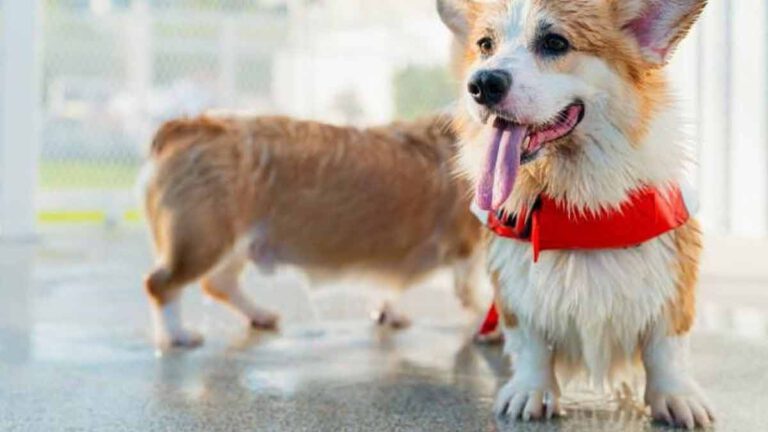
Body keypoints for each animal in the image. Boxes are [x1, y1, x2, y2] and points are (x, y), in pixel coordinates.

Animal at [140, 112, 480, 348]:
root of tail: (185, 127)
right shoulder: (467, 249)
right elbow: (474, 294)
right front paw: (483, 328)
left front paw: (389, 313)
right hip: (206, 241)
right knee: (162, 284)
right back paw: (178, 335)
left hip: (238, 243)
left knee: (218, 283)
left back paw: (260, 315)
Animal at [440, 0, 712, 428]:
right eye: (485, 45)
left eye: (555, 42)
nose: (482, 84)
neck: (573, 205)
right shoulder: (515, 282)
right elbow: (530, 343)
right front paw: (530, 391)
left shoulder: (673, 268)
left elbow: (666, 347)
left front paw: (676, 397)